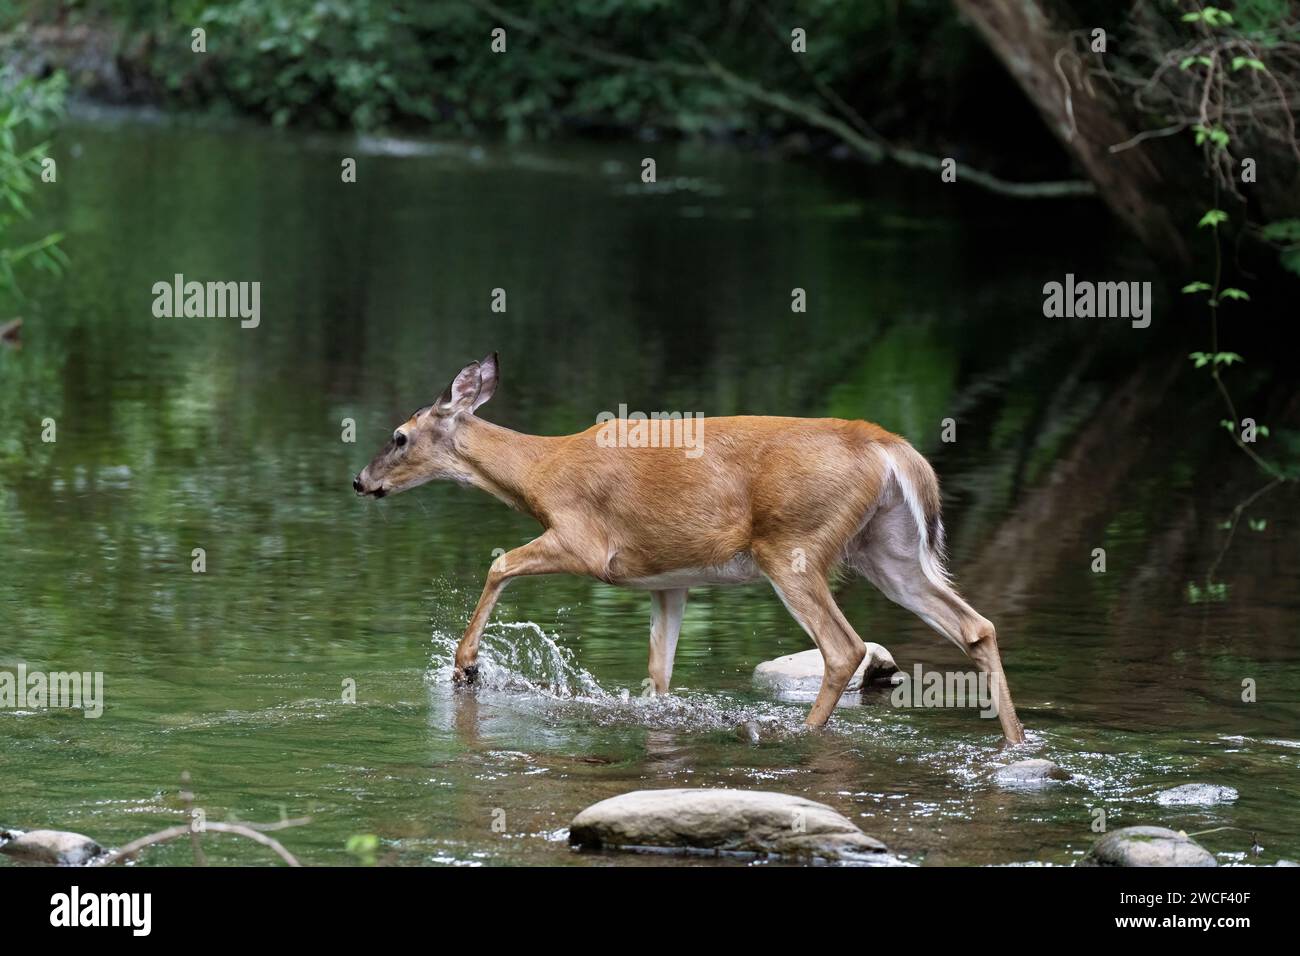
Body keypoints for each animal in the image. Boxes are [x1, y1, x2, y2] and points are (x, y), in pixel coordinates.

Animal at [353, 356, 1024, 743]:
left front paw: (466, 666)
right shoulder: (666, 579)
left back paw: (803, 734)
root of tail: (888, 447)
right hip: (888, 549)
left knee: (846, 647)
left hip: (794, 543)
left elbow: (499, 563)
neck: (541, 473)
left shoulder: (586, 541)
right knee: (975, 625)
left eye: (399, 436)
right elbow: (659, 673)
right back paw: (1015, 742)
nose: (360, 481)